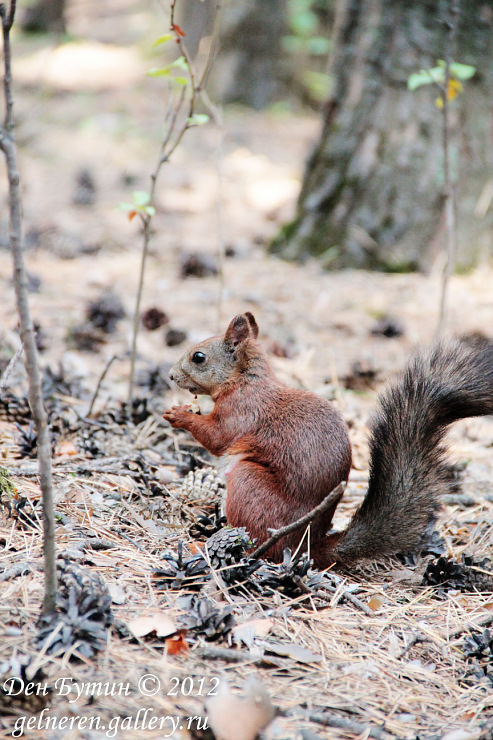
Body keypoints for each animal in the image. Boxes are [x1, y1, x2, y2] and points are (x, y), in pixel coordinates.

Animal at [164, 312, 492, 568]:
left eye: (198, 357)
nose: (170, 376)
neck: (244, 381)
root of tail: (306, 546)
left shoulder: (243, 412)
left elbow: (217, 437)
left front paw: (179, 414)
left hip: (249, 484)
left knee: (259, 546)